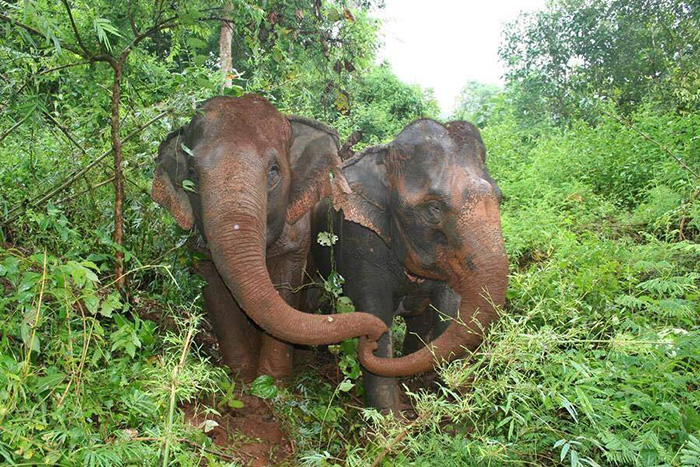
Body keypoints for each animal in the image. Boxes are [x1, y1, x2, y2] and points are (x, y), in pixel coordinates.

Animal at [151, 94, 387, 381]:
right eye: (193, 174)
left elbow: (285, 285)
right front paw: (241, 377)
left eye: (274, 171)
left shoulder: (297, 233)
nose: (374, 339)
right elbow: (216, 292)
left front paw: (270, 383)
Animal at [310, 119, 508, 409]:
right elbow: (377, 314)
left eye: (499, 198)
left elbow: (448, 309)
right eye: (433, 209)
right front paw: (391, 420)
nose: (366, 345)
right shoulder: (358, 238)